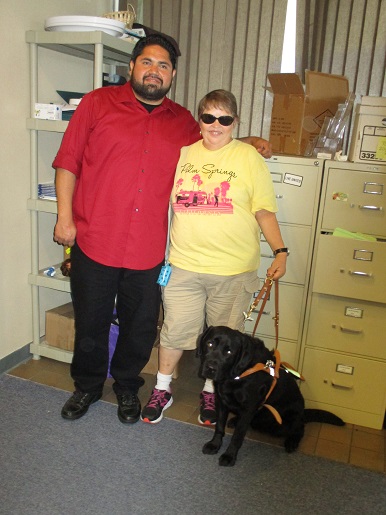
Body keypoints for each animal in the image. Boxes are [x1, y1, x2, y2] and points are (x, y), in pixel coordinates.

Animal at [199, 326, 344, 468]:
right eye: (209, 344)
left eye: (229, 352)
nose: (210, 368)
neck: (237, 373)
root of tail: (303, 413)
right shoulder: (221, 401)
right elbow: (219, 427)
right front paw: (214, 445)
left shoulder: (248, 408)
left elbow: (237, 436)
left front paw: (229, 456)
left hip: (283, 423)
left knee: (300, 428)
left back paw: (292, 442)